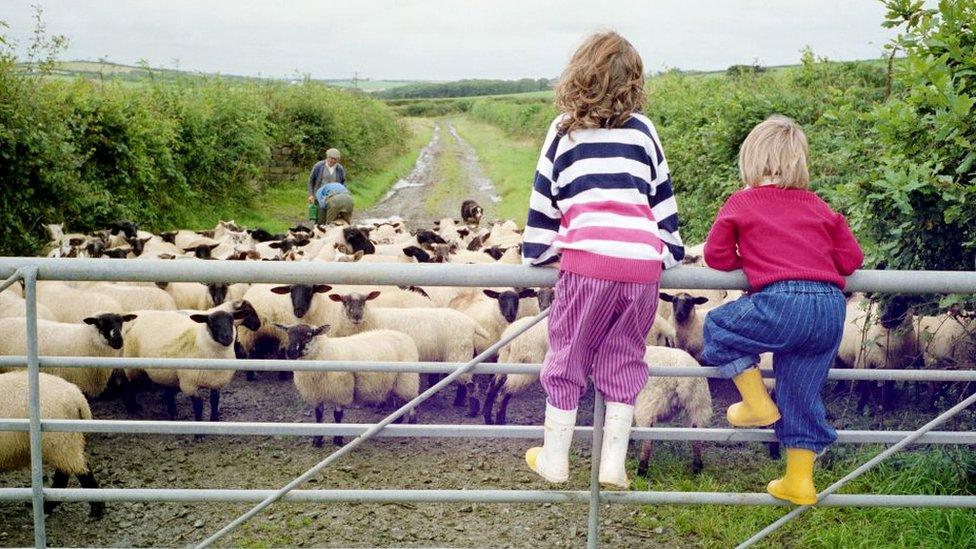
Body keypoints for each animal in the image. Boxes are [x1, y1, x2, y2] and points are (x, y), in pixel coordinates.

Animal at [0, 370, 104, 516]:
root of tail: (78, 397)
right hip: (67, 442)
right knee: (67, 471)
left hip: (60, 441)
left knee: (80, 471)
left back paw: (95, 509)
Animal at [280, 326, 422, 446]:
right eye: (288, 334)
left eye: (308, 336)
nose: (290, 352)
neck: (323, 352)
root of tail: (405, 336)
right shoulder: (316, 394)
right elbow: (318, 416)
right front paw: (317, 440)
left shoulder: (340, 391)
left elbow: (337, 416)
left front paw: (338, 440)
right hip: (395, 381)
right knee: (398, 400)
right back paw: (397, 421)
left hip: (407, 379)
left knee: (412, 399)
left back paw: (412, 421)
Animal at [636, 346, 712, 476]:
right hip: (698, 405)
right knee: (696, 437)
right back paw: (697, 469)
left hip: (648, 404)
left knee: (648, 440)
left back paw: (642, 470)